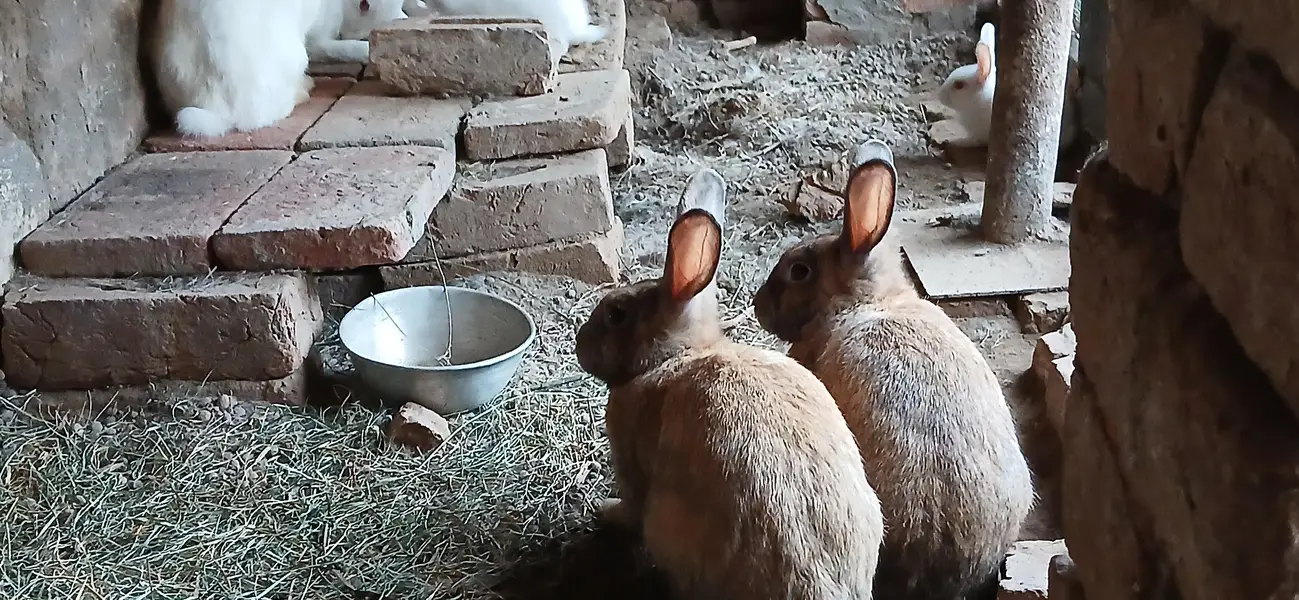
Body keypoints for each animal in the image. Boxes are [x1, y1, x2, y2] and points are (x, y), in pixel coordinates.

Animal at [576, 168, 885, 600]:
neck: (673, 356)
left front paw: (605, 511)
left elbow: (630, 505)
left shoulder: (632, 465)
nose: (579, 345)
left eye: (617, 314)